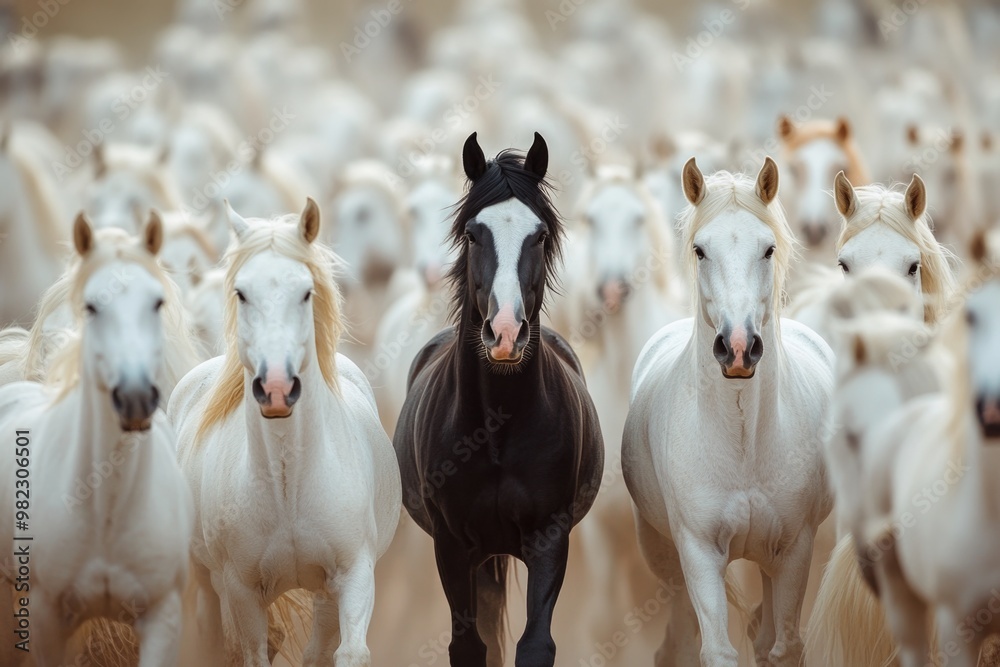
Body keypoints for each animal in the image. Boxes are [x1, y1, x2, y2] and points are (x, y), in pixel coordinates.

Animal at [169, 199, 401, 666]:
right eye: (242, 293)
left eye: (305, 292)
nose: (276, 388)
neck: (289, 483)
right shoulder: (240, 589)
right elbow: (252, 650)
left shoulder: (353, 575)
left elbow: (347, 652)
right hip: (207, 577)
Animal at [393, 132, 604, 666]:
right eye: (473, 234)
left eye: (540, 235)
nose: (505, 334)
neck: (496, 430)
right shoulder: (451, 546)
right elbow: (470, 645)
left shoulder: (549, 538)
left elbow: (535, 644)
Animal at [622, 157, 835, 666]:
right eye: (700, 250)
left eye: (768, 249)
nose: (738, 348)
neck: (742, 445)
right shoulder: (697, 553)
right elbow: (717, 649)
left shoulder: (794, 550)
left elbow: (783, 645)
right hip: (664, 557)